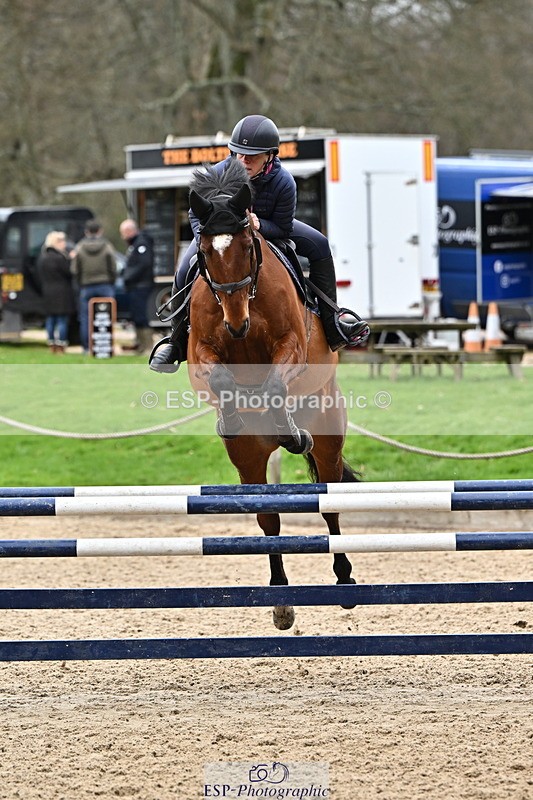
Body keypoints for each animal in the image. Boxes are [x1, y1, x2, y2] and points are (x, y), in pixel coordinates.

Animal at [185, 158, 358, 630]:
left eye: (248, 245)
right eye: (205, 252)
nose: (236, 323)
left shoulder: (292, 346)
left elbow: (276, 384)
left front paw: (291, 432)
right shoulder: (200, 352)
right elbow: (222, 381)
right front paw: (230, 417)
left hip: (330, 434)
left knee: (329, 503)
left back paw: (345, 579)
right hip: (248, 458)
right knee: (269, 519)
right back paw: (281, 602)